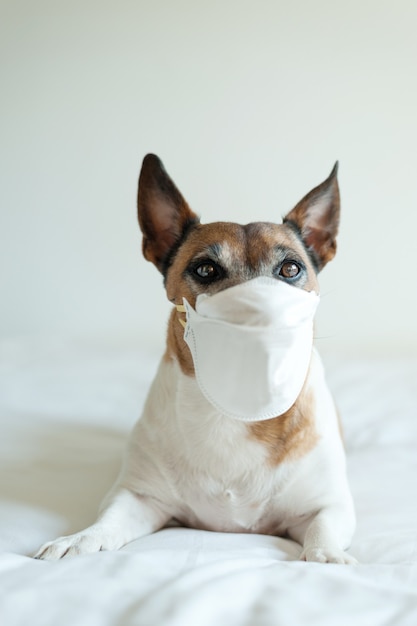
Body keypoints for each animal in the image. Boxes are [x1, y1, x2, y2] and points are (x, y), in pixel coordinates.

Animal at [35, 155, 354, 560]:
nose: (259, 312)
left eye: (290, 269)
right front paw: (79, 539)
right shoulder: (141, 498)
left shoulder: (326, 506)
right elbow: (108, 520)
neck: (236, 406)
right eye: (206, 269)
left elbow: (322, 529)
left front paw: (327, 556)